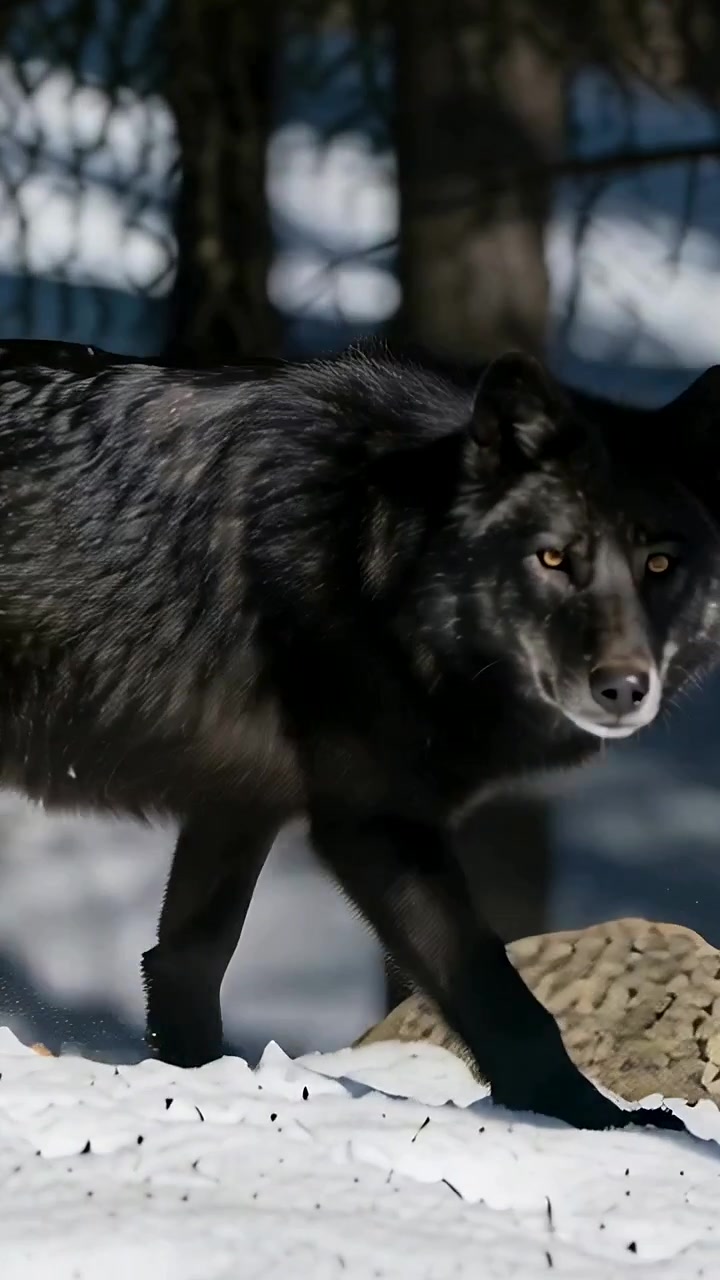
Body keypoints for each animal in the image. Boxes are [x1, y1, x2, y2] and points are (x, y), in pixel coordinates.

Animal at [0, 337, 717, 1132]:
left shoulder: (240, 802)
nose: (623, 688)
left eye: (659, 563)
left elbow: (187, 958)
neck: (375, 556)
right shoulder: (372, 821)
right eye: (555, 558)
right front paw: (591, 1118)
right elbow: (496, 991)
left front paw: (195, 1081)